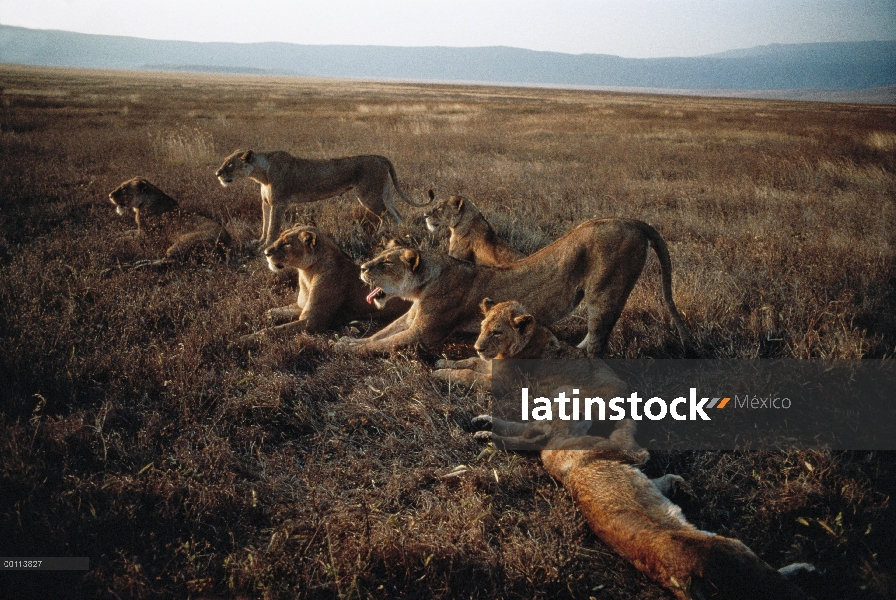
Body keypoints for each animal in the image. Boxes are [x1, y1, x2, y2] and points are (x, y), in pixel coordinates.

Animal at [214, 150, 430, 246]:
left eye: (230, 164)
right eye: (224, 162)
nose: (217, 173)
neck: (260, 174)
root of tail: (381, 157)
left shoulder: (279, 203)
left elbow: (273, 227)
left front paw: (266, 246)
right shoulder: (266, 203)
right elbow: (265, 224)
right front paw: (258, 242)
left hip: (369, 196)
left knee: (386, 216)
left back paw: (380, 237)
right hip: (384, 193)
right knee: (398, 215)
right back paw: (402, 234)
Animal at [234, 224, 410, 344]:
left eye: (287, 244)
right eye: (280, 237)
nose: (266, 252)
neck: (306, 274)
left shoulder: (313, 321)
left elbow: (271, 331)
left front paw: (241, 339)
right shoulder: (301, 306)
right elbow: (278, 310)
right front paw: (264, 316)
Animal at [344, 216, 692, 356]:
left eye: (385, 264)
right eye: (378, 257)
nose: (360, 268)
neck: (421, 285)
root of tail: (632, 221)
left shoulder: (425, 335)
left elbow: (382, 344)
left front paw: (341, 349)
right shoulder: (411, 319)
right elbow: (380, 335)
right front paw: (348, 341)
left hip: (605, 293)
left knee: (597, 342)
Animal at [430, 298, 584, 390]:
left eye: (497, 333)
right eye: (482, 327)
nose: (477, 348)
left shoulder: (500, 382)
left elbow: (468, 374)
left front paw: (440, 373)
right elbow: (471, 361)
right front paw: (443, 362)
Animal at [476, 418, 820, 600]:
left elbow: (666, 480)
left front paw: (684, 488)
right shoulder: (631, 452)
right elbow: (628, 432)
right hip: (734, 551)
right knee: (776, 584)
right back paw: (806, 569)